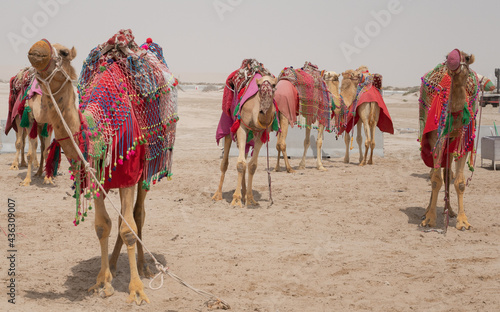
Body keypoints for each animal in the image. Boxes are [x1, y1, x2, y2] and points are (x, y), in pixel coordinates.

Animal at [27, 28, 178, 302]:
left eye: (63, 52)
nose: (37, 48)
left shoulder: (129, 174)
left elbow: (128, 228)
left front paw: (136, 289)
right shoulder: (95, 177)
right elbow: (102, 226)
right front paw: (102, 281)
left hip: (147, 170)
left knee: (138, 215)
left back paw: (144, 267)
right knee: (120, 219)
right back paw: (116, 264)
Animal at [213, 60, 280, 208]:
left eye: (274, 85)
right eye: (259, 85)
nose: (263, 109)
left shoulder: (262, 133)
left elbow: (252, 165)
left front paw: (250, 198)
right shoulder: (242, 127)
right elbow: (240, 164)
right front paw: (236, 199)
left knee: (244, 156)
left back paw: (244, 194)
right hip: (229, 126)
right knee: (225, 162)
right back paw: (217, 195)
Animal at [420, 48, 478, 229]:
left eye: (467, 57)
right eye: (447, 56)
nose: (452, 59)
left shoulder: (463, 139)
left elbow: (459, 182)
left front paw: (463, 221)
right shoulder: (437, 139)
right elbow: (435, 179)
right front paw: (430, 219)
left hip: (451, 144)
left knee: (447, 174)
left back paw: (450, 210)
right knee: (435, 173)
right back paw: (427, 211)